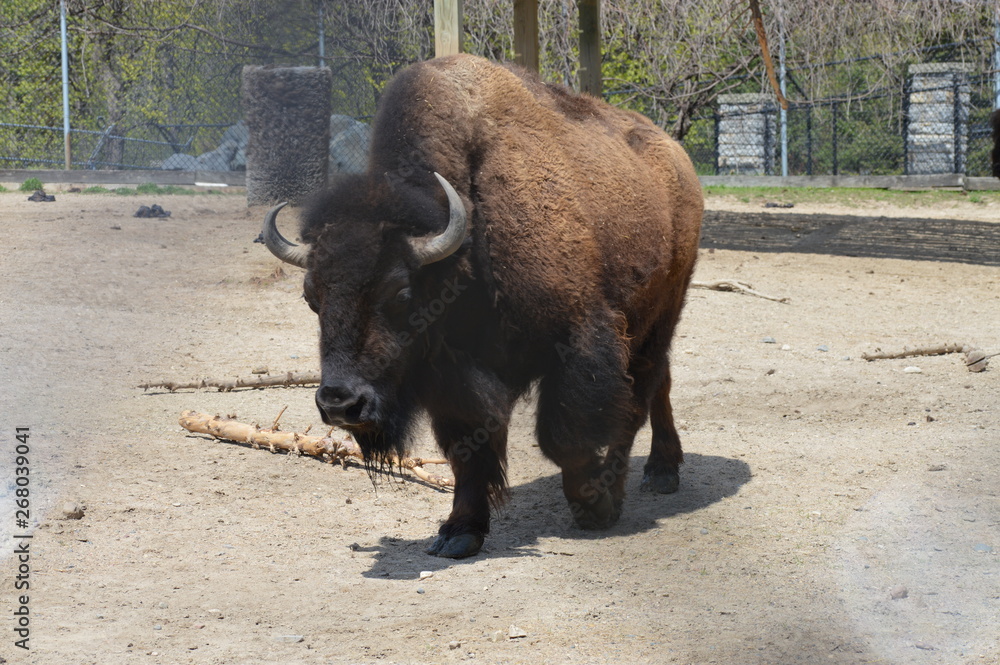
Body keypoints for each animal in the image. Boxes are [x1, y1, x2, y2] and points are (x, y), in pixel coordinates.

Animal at [262, 54, 703, 558]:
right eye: (311, 298)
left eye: (401, 293)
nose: (340, 403)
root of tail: (676, 156)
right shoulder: (451, 377)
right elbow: (467, 451)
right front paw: (458, 533)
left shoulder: (579, 338)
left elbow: (565, 437)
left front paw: (595, 507)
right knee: (657, 383)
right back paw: (660, 469)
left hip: (663, 310)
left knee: (642, 395)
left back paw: (655, 475)